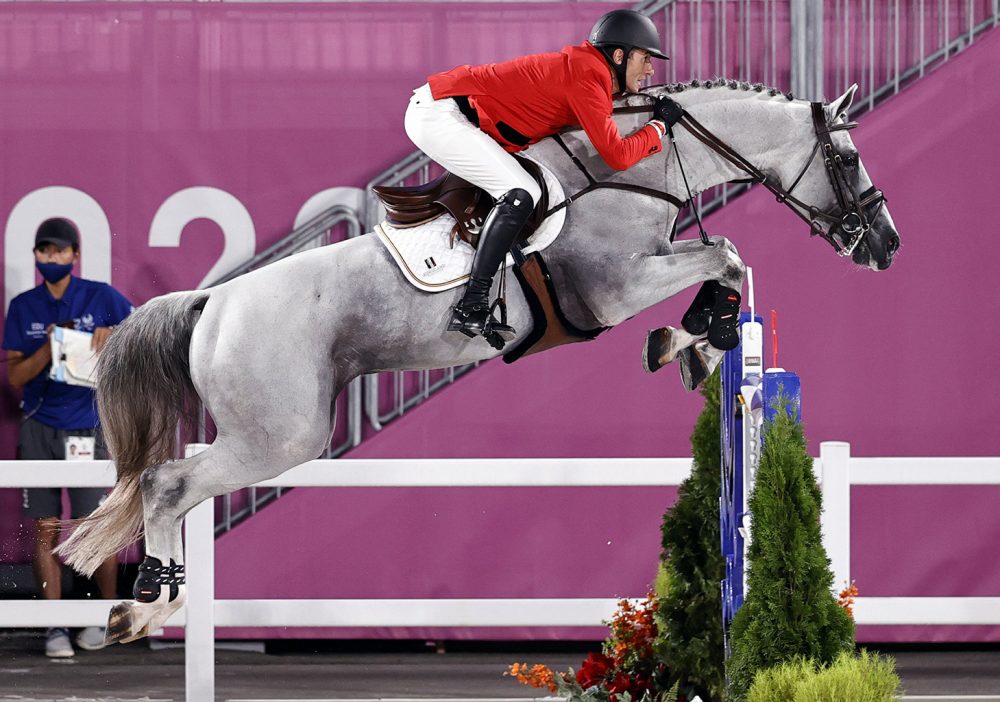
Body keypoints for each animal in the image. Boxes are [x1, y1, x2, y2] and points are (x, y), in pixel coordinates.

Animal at [54, 80, 900, 648]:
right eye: (847, 156)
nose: (886, 246)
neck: (633, 170)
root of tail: (213, 301)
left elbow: (725, 258)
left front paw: (693, 345)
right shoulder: (614, 287)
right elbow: (725, 252)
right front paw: (691, 338)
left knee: (169, 487)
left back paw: (146, 605)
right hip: (283, 434)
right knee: (169, 485)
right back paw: (148, 605)